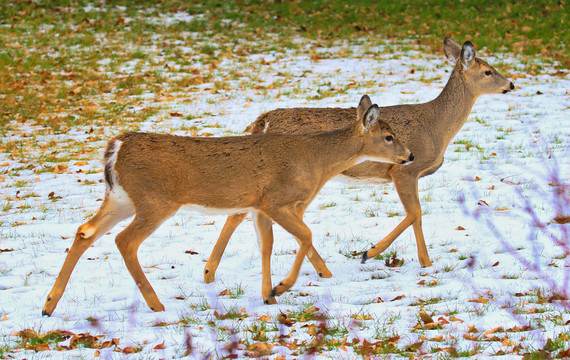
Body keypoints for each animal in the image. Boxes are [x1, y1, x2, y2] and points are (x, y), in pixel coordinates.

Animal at [42, 93, 410, 316]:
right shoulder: (277, 199)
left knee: (85, 231)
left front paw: (268, 294)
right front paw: (282, 286)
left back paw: (49, 304)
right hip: (154, 199)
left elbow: (267, 245)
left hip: (121, 198)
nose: (409, 155)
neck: (315, 161)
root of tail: (116, 146)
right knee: (124, 240)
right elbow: (305, 235)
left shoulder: (259, 206)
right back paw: (156, 304)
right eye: (389, 137)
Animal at [202, 38, 512, 282]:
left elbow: (416, 215)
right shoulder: (404, 170)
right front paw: (371, 252)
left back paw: (211, 272)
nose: (510, 83)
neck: (436, 126)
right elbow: (415, 213)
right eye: (488, 71)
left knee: (244, 213)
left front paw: (423, 262)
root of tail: (262, 122)